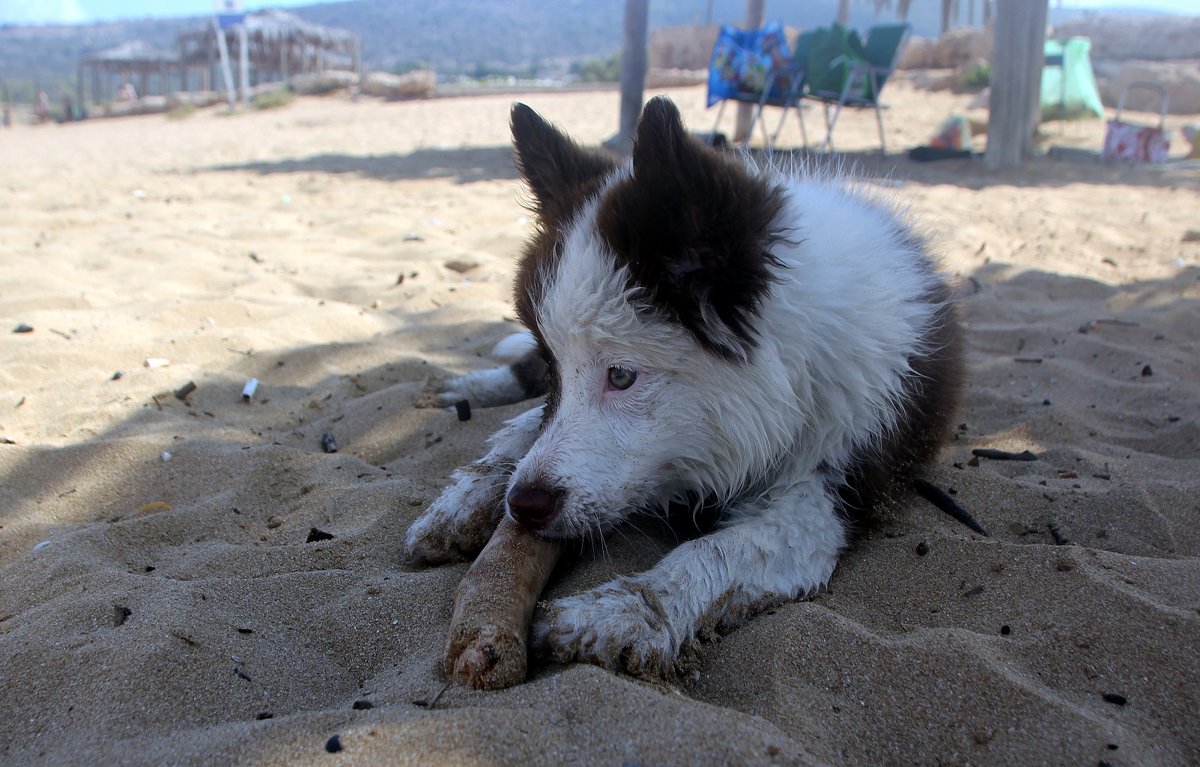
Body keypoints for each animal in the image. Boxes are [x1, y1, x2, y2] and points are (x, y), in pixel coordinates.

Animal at [408, 97, 960, 676]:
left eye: (622, 375)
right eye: (555, 366)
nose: (524, 506)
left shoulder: (828, 493)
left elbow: (719, 552)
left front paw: (623, 613)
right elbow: (529, 430)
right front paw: (467, 496)